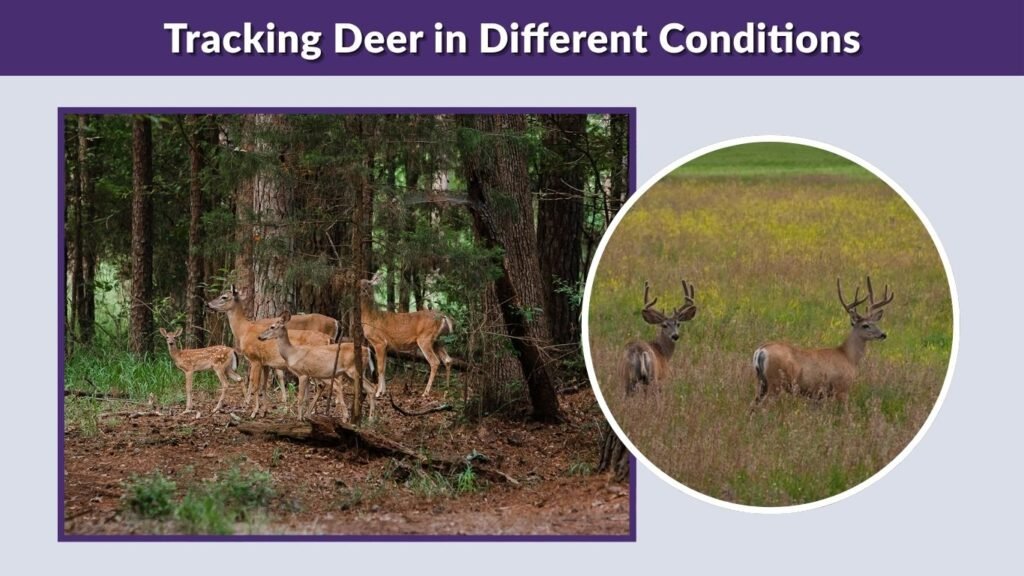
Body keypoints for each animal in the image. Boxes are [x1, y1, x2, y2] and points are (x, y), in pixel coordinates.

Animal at [206, 285, 337, 418]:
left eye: (224, 297)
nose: (208, 304)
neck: (244, 330)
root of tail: (328, 339)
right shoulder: (265, 363)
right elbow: (263, 386)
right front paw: (264, 410)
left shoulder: (255, 359)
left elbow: (255, 385)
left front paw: (254, 411)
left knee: (321, 385)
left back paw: (310, 412)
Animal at [751, 276, 894, 411]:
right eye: (865, 325)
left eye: (875, 323)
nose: (883, 334)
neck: (848, 357)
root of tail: (761, 350)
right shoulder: (842, 388)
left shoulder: (818, 394)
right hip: (775, 382)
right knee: (763, 407)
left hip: (761, 382)